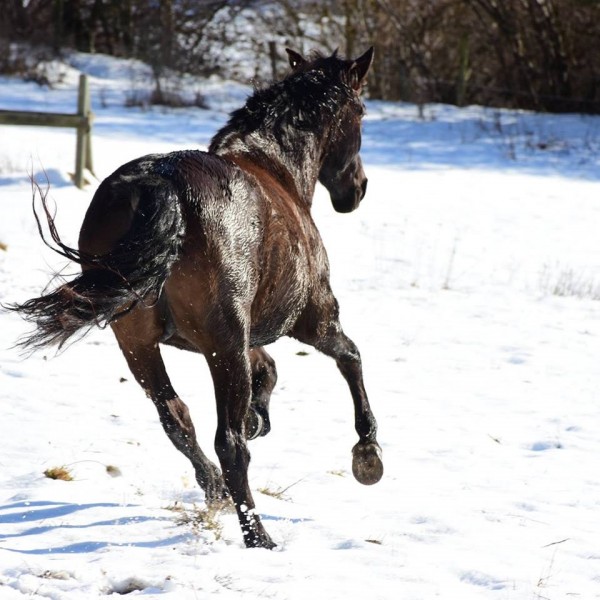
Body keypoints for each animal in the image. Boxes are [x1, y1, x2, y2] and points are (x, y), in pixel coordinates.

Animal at [8, 49, 384, 552]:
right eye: (360, 113)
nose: (357, 189)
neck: (277, 171)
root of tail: (160, 185)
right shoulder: (310, 320)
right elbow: (350, 358)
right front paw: (368, 454)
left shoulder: (229, 334)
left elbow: (268, 369)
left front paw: (258, 416)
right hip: (222, 345)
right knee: (227, 442)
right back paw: (259, 538)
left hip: (138, 342)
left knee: (177, 417)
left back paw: (217, 491)